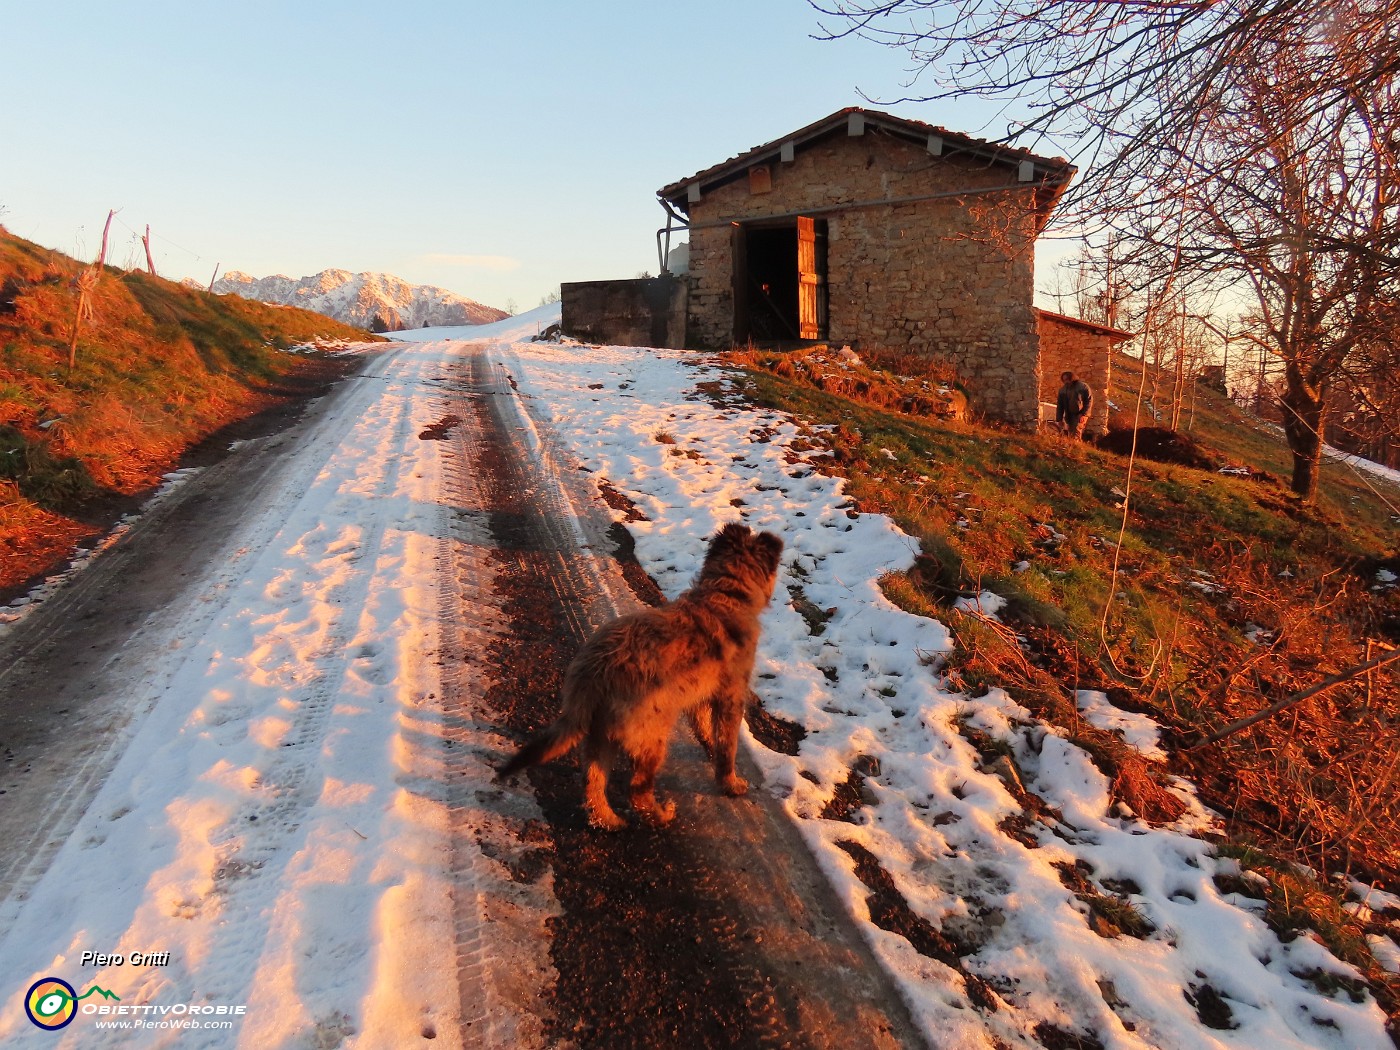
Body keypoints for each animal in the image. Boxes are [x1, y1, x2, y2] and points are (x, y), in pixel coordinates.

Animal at [495, 523, 784, 828]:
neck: (726, 594)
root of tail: (594, 671)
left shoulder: (699, 695)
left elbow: (704, 727)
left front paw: (709, 748)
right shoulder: (731, 696)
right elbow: (728, 745)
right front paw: (730, 782)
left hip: (599, 733)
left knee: (592, 782)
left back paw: (608, 820)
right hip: (652, 735)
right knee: (637, 791)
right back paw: (661, 815)